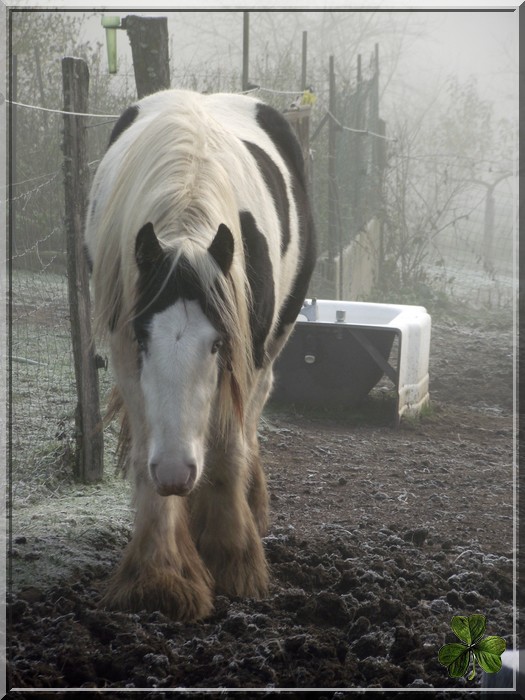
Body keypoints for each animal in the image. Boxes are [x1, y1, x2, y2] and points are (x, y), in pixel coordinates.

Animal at [86, 89, 316, 624]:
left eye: (216, 344)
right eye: (143, 339)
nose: (176, 472)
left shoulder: (246, 353)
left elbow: (230, 447)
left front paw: (233, 558)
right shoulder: (125, 354)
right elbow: (147, 451)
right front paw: (160, 575)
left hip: (274, 346)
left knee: (248, 423)